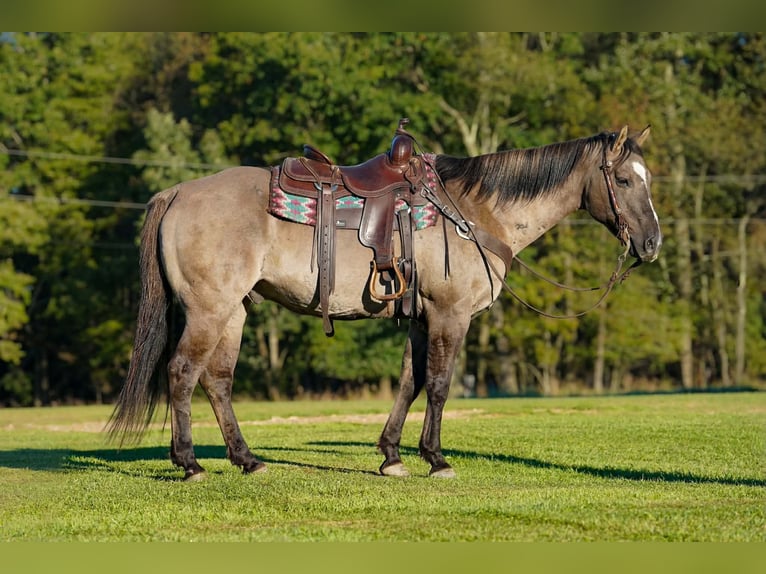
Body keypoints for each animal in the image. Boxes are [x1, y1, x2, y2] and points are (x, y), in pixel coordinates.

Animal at [107, 123, 661, 480]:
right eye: (625, 180)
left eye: (647, 178)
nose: (652, 243)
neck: (475, 212)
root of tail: (178, 192)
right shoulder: (450, 314)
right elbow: (438, 385)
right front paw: (436, 459)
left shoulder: (420, 317)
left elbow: (409, 383)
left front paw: (392, 456)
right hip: (209, 310)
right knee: (183, 373)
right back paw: (189, 463)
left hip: (234, 313)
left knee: (218, 382)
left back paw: (247, 460)